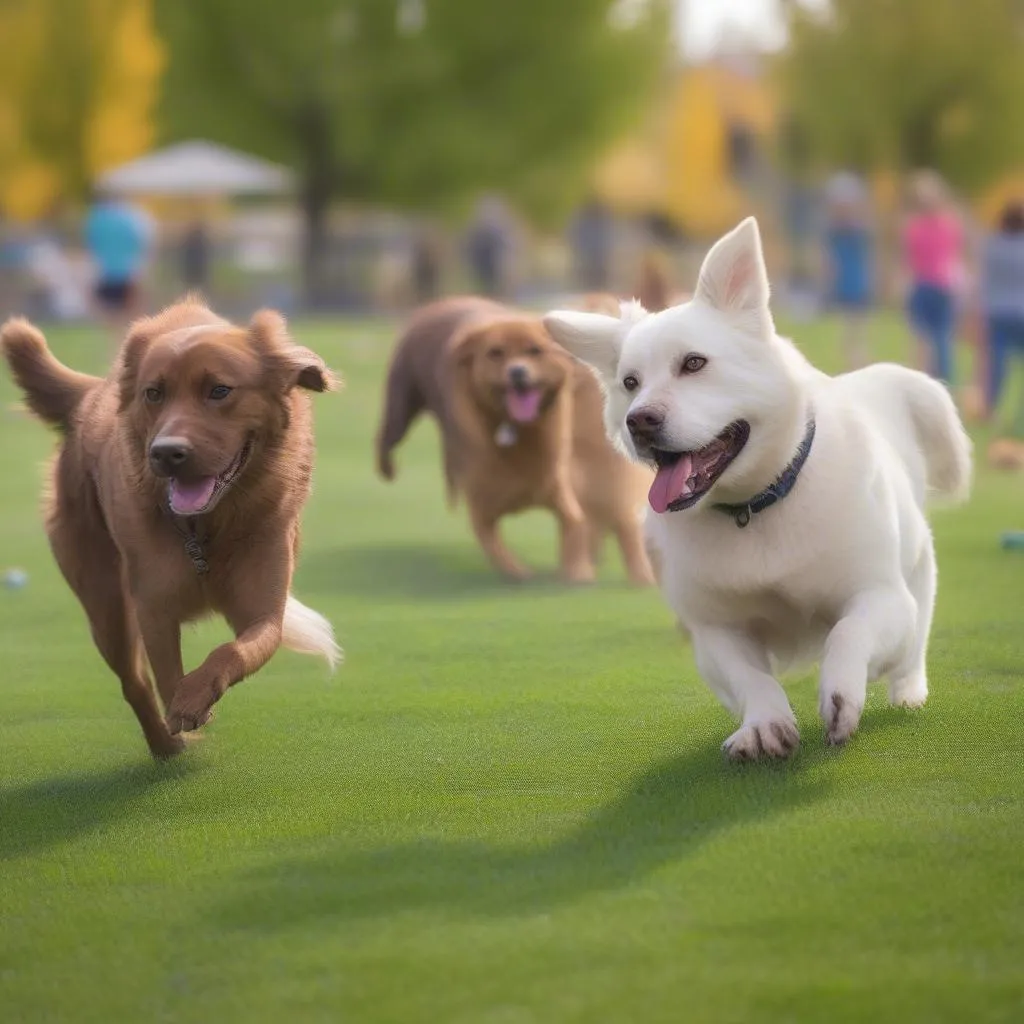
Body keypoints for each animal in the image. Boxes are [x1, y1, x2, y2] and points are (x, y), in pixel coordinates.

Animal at [0, 299, 344, 757]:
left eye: (219, 390)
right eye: (154, 393)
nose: (165, 453)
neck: (205, 528)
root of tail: (89, 395)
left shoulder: (266, 613)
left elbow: (231, 651)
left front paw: (196, 697)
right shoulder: (153, 606)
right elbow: (165, 676)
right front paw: (184, 708)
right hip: (106, 607)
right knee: (133, 683)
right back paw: (166, 747)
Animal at [378, 296, 655, 585]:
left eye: (535, 350)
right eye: (495, 353)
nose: (517, 372)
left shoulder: (568, 488)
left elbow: (578, 525)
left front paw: (577, 573)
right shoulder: (483, 507)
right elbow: (496, 544)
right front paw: (525, 573)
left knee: (622, 521)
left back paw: (639, 574)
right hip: (398, 409)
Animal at [544, 218, 966, 761]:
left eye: (694, 363)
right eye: (630, 382)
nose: (639, 421)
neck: (755, 507)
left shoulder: (882, 598)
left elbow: (848, 634)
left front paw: (840, 694)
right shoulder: (715, 632)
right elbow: (751, 679)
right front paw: (764, 725)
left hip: (917, 580)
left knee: (911, 651)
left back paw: (908, 691)